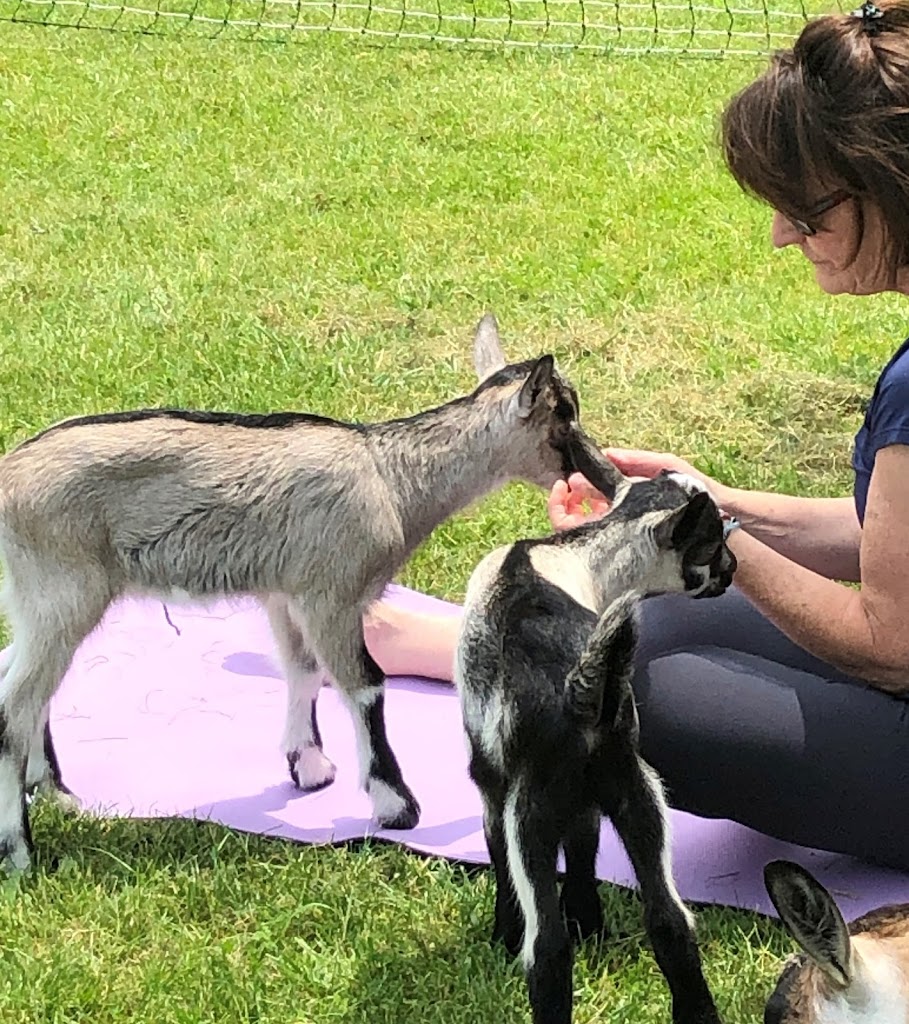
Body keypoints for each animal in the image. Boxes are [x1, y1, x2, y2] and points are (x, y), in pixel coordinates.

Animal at [0, 313, 619, 872]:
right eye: (563, 417)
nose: (608, 476)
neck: (393, 478)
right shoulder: (332, 590)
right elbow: (364, 684)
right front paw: (395, 805)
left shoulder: (286, 590)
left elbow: (300, 669)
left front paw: (310, 767)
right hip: (63, 587)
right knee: (14, 705)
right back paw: (20, 854)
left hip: (42, 600)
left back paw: (54, 791)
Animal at [454, 469, 735, 1024]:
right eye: (713, 543)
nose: (733, 571)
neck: (580, 558)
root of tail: (581, 689)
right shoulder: (591, 795)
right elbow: (584, 844)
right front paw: (591, 924)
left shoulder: (491, 784)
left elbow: (498, 855)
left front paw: (505, 932)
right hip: (637, 788)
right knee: (670, 921)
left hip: (531, 813)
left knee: (546, 949)